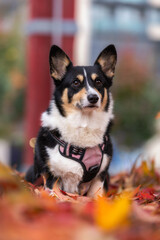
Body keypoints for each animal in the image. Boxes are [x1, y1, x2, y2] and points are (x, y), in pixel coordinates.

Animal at [25, 44, 117, 197]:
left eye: (98, 82)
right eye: (75, 82)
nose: (93, 98)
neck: (84, 122)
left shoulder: (99, 177)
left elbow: (95, 196)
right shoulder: (52, 177)